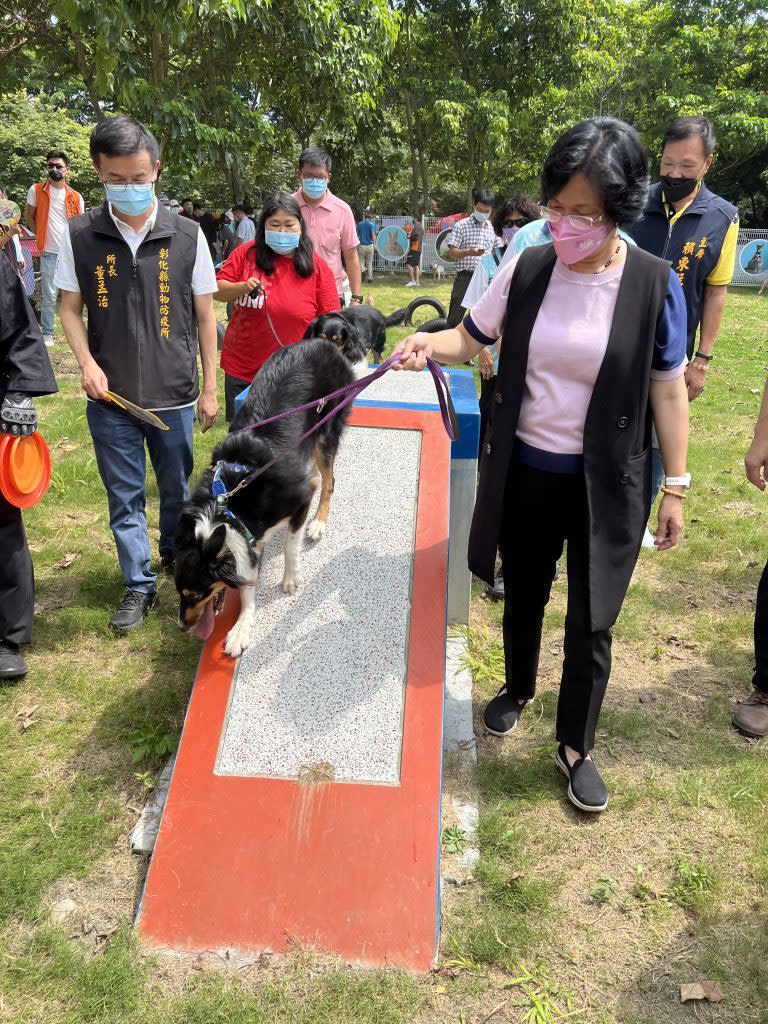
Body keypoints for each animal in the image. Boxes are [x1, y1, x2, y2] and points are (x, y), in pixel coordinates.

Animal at [174, 335, 354, 655]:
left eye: (193, 594)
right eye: (179, 593)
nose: (182, 627)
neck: (227, 507)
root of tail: (321, 341)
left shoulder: (300, 497)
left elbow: (291, 545)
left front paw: (290, 578)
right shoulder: (247, 539)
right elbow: (247, 584)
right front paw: (242, 626)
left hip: (326, 431)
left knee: (329, 480)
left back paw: (318, 522)